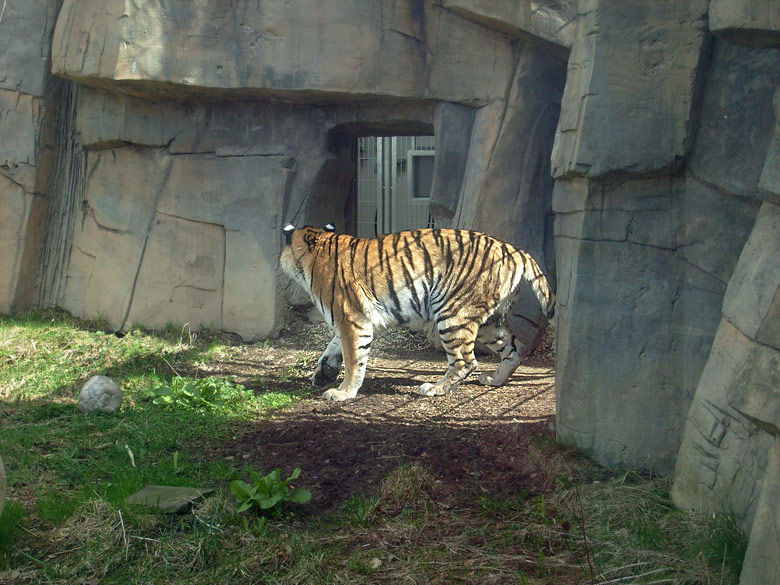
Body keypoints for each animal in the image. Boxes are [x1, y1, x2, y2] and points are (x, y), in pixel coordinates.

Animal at [280, 221, 556, 400]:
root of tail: (515, 250)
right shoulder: (353, 321)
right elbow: (333, 348)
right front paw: (323, 373)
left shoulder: (352, 318)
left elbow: (353, 359)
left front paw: (344, 392)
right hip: (490, 324)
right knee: (516, 349)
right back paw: (494, 380)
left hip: (453, 314)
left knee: (466, 361)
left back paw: (435, 388)